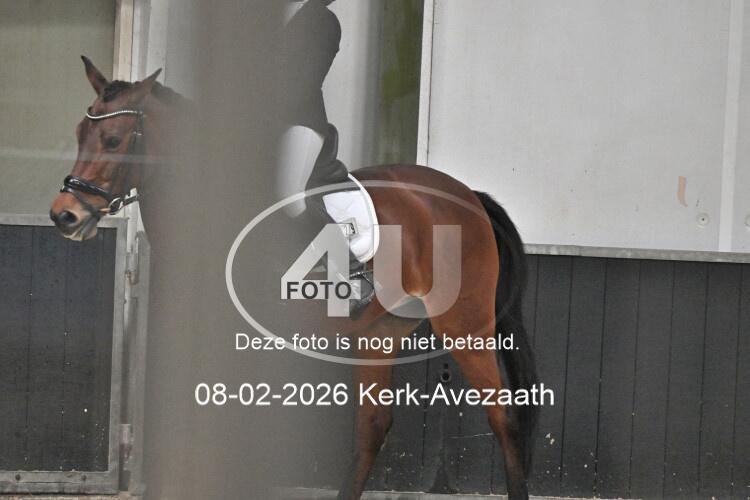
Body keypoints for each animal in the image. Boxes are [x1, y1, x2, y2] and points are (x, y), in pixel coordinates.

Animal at [50, 56, 538, 500]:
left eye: (113, 140)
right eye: (78, 134)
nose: (63, 215)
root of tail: (467, 195)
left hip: (465, 325)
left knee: (503, 419)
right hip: (379, 332)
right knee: (373, 427)